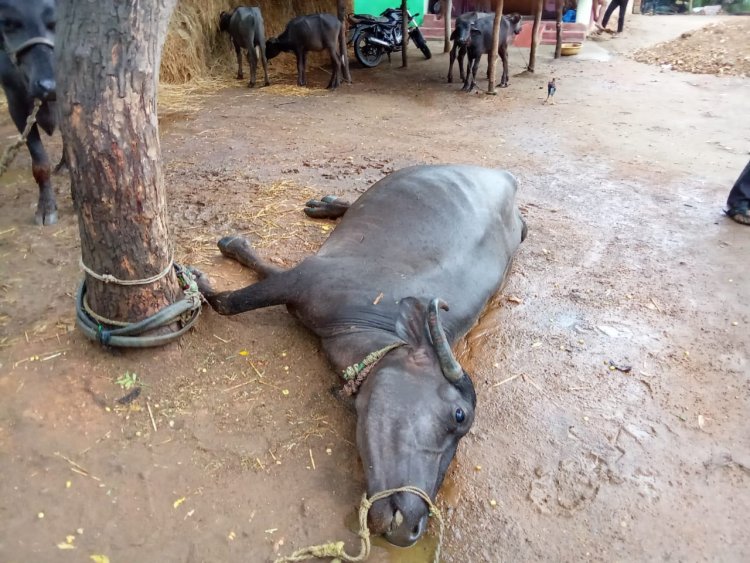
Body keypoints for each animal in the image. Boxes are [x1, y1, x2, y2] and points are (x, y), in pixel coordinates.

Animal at [0, 0, 58, 225]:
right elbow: (40, 163)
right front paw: (46, 208)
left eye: (54, 22)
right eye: (8, 23)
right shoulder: (15, 103)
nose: (49, 86)